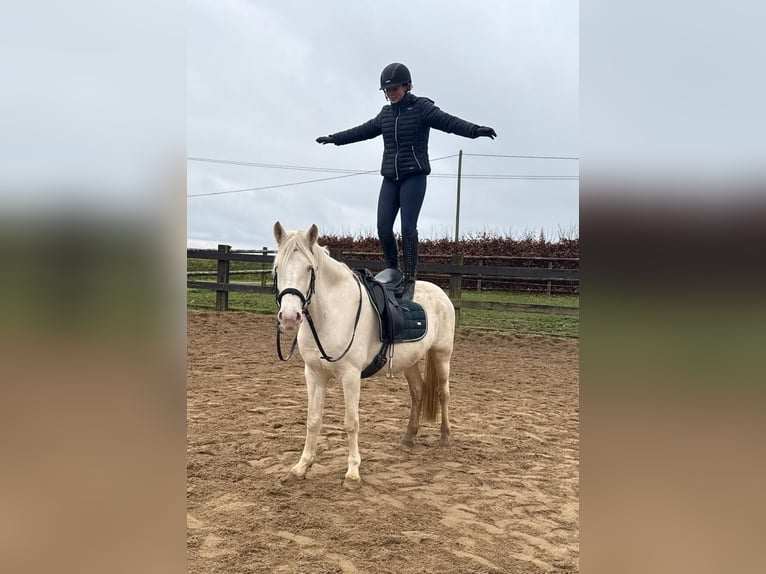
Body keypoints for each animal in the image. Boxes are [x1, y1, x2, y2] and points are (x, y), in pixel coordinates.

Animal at [272, 221, 456, 489]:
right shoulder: (314, 374)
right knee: (418, 392)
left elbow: (351, 423)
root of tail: (441, 293)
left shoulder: (350, 376)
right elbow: (313, 419)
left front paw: (352, 473)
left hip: (442, 355)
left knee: (443, 394)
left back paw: (444, 439)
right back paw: (408, 438)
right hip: (411, 362)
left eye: (310, 269)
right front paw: (301, 466)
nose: (288, 318)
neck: (331, 313)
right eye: (277, 268)